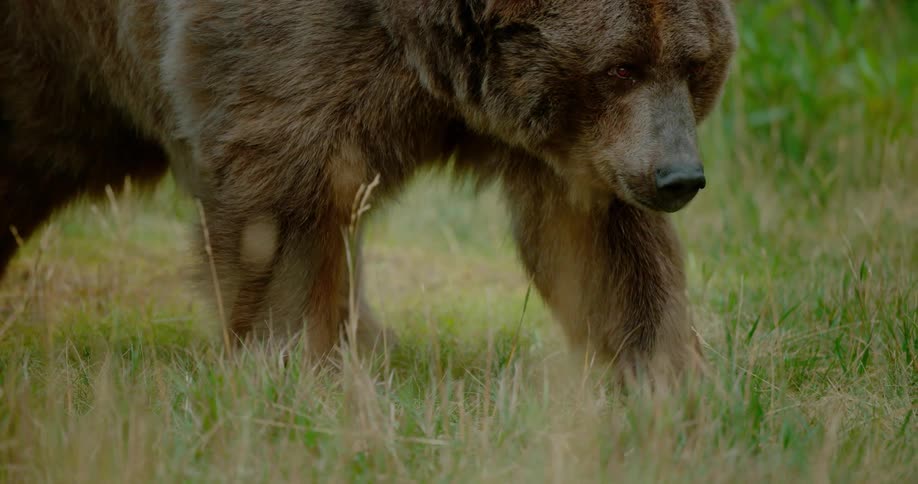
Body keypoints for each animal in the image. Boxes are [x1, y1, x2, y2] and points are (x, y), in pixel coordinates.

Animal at [0, 0, 737, 377]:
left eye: (694, 63)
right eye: (619, 67)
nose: (679, 176)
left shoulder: (575, 146)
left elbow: (599, 245)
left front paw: (664, 370)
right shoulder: (293, 63)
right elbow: (286, 211)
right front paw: (301, 363)